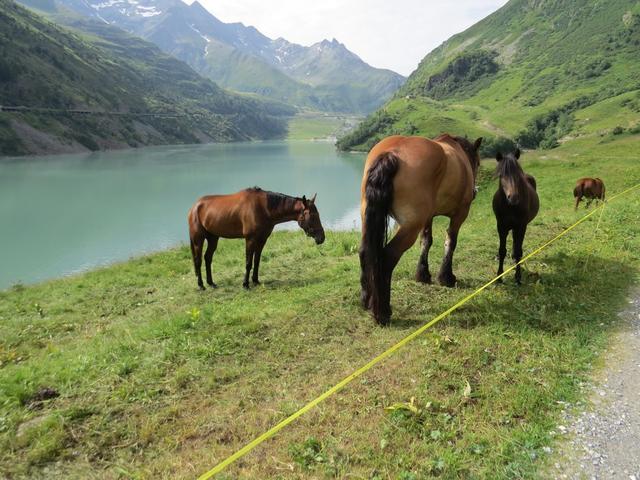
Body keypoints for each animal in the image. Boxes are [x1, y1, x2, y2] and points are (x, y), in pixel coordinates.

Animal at [186, 188, 324, 290]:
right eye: (312, 215)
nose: (322, 238)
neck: (263, 208)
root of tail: (194, 207)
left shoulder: (262, 239)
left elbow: (257, 261)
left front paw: (256, 280)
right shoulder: (250, 239)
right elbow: (248, 263)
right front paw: (245, 284)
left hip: (213, 238)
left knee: (207, 258)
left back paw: (211, 283)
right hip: (198, 239)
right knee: (198, 260)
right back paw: (201, 285)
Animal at [358, 133, 482, 324]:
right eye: (478, 163)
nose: (475, 192)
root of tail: (391, 154)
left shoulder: (428, 217)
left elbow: (426, 241)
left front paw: (422, 274)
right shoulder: (459, 215)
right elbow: (450, 242)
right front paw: (446, 277)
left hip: (367, 217)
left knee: (365, 252)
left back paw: (366, 300)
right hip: (409, 227)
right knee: (387, 257)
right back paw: (382, 312)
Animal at [492, 150, 536, 284]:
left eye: (518, 173)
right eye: (501, 175)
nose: (513, 197)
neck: (510, 206)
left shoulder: (521, 226)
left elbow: (518, 252)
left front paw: (518, 277)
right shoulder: (501, 227)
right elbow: (502, 251)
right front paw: (499, 276)